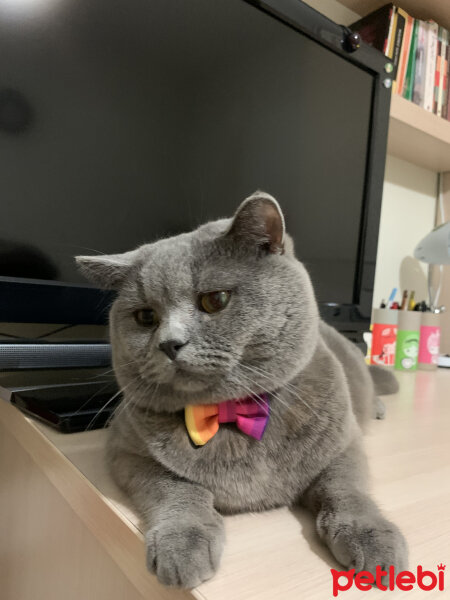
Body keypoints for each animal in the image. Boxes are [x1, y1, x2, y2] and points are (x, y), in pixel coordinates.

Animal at [76, 193, 408, 592]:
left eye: (215, 300)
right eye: (145, 317)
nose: (170, 343)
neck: (231, 411)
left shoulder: (344, 445)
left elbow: (348, 490)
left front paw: (373, 540)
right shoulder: (126, 453)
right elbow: (174, 488)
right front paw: (182, 547)